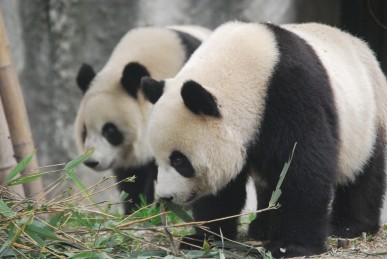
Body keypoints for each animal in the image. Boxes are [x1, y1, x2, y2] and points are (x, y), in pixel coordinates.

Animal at [142, 21, 387, 258]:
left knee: (364, 175)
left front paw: (291, 246)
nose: (166, 196)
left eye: (179, 160)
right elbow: (223, 192)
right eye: (158, 160)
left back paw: (350, 226)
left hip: (367, 118)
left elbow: (305, 170)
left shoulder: (292, 95)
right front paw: (202, 238)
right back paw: (263, 227)